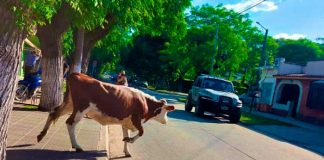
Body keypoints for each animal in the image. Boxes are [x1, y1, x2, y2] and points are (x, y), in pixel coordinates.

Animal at [37, 73, 175, 156]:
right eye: (166, 111)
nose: (167, 121)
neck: (145, 102)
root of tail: (77, 74)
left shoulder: (126, 121)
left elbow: (126, 135)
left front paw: (126, 150)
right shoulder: (136, 119)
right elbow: (141, 132)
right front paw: (130, 141)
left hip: (70, 104)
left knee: (53, 112)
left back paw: (41, 135)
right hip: (81, 108)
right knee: (69, 123)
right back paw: (77, 146)